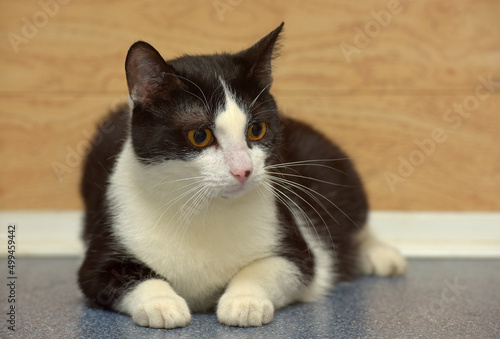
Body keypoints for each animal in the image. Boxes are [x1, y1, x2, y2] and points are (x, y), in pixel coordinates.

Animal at [78, 23, 406, 330]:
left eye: (256, 130)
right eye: (200, 135)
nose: (243, 170)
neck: (203, 210)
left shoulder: (299, 251)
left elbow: (268, 267)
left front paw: (244, 301)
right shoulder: (100, 258)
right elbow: (128, 277)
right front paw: (162, 303)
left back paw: (379, 254)